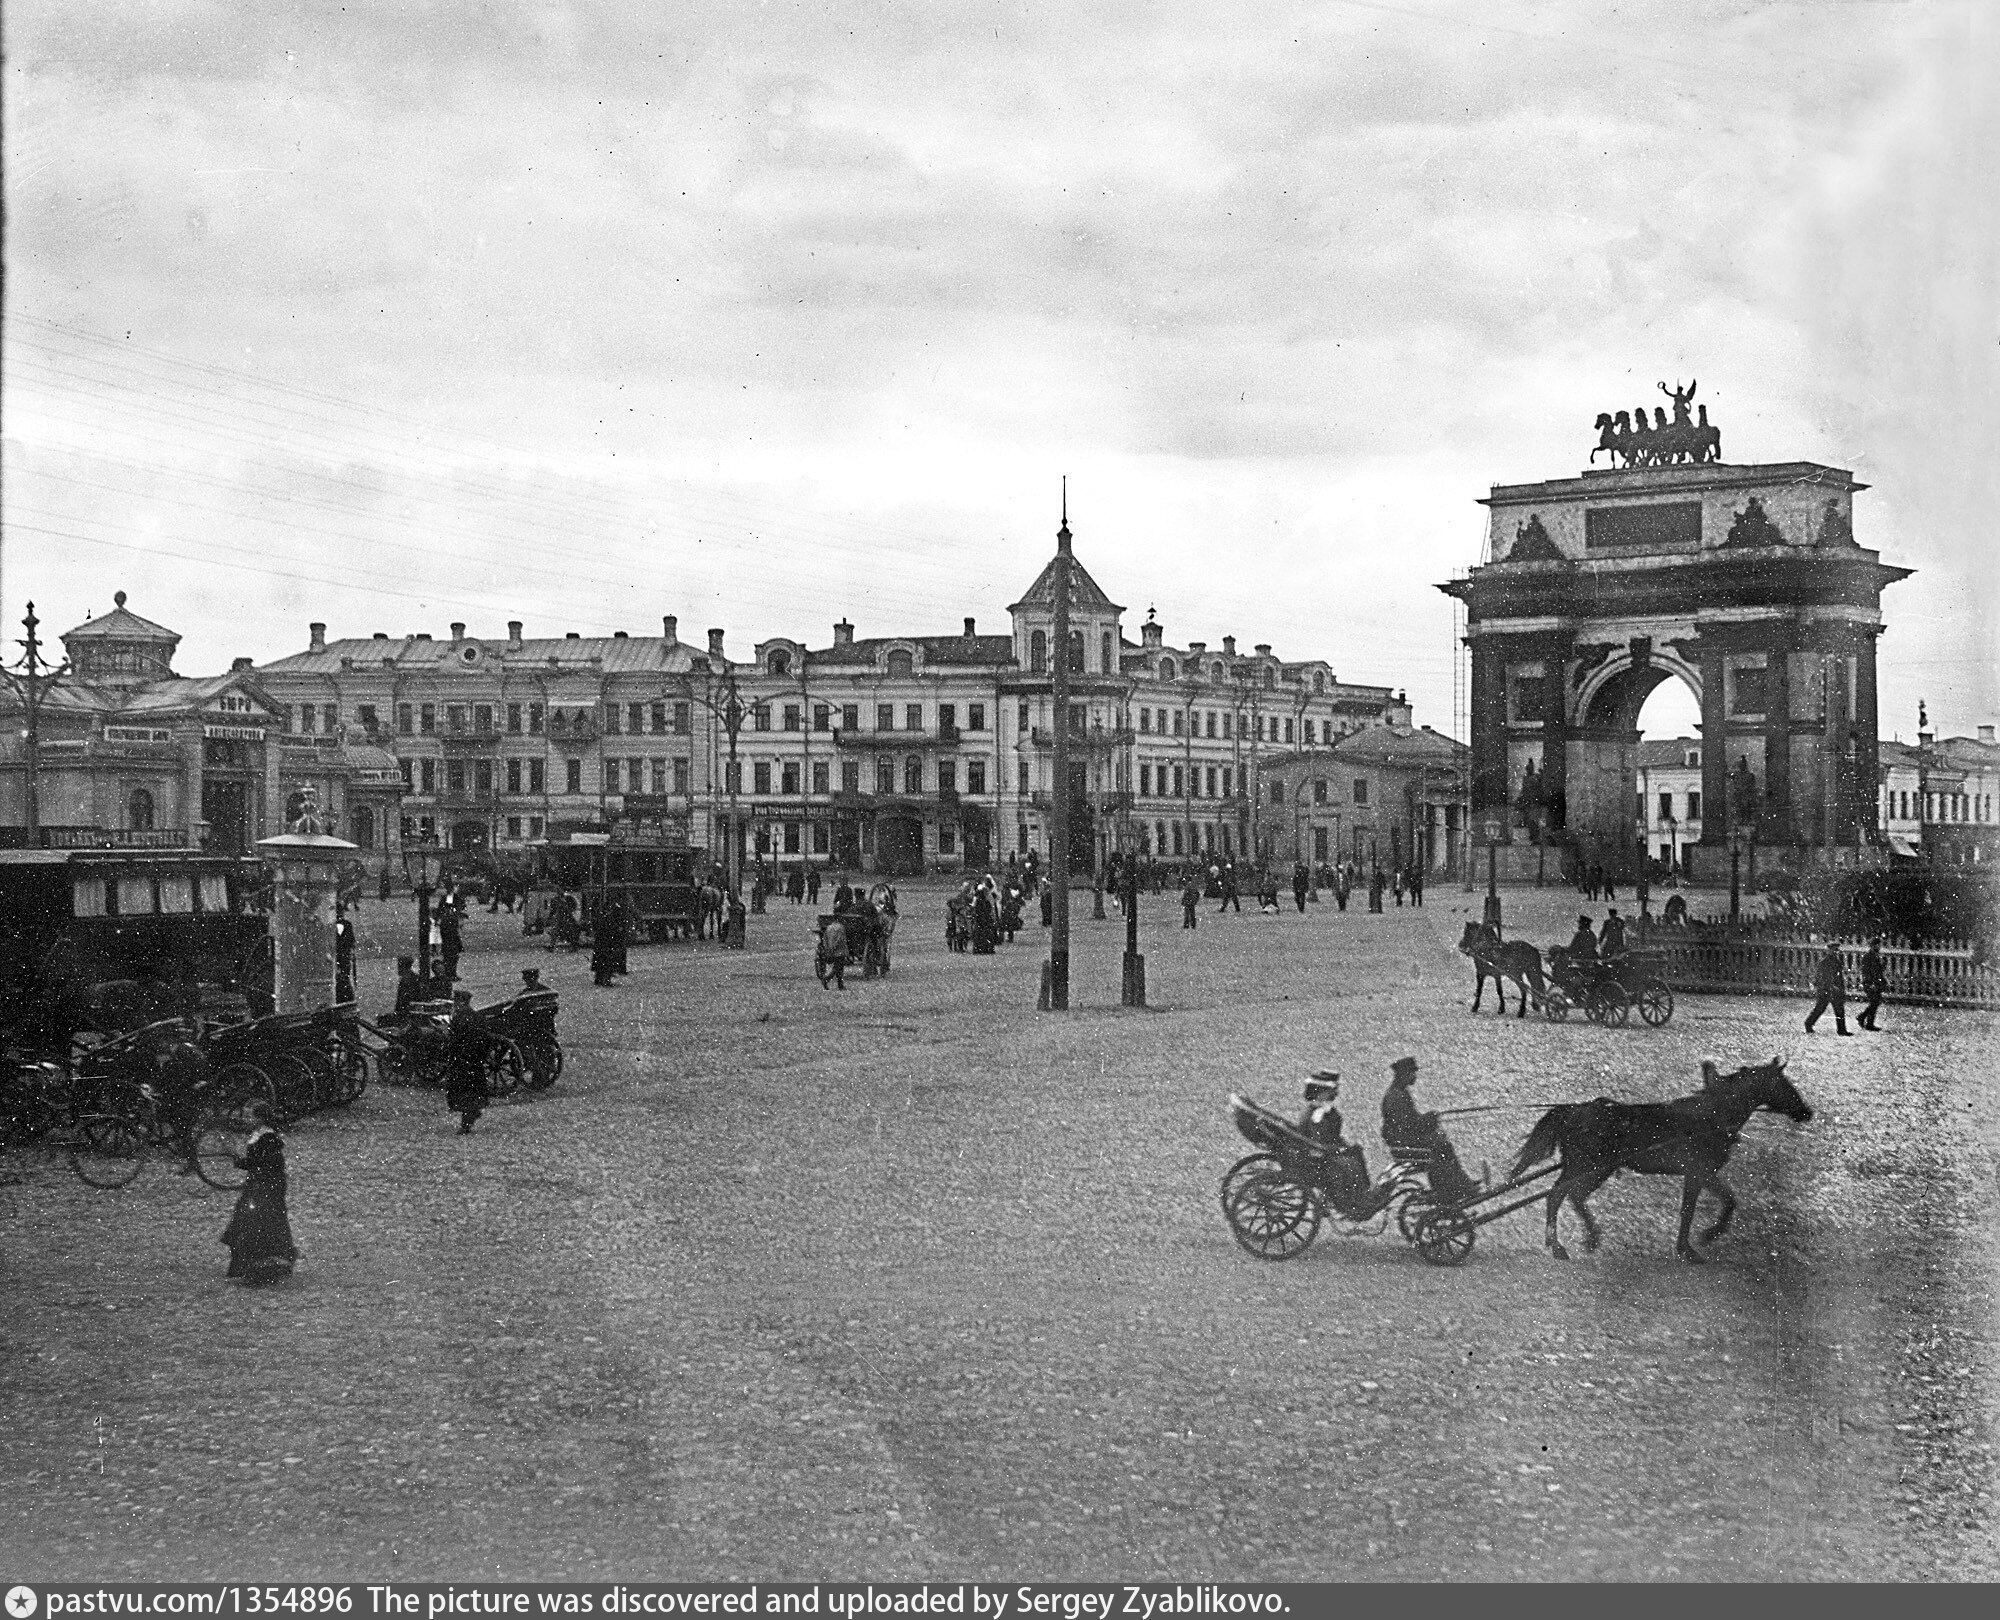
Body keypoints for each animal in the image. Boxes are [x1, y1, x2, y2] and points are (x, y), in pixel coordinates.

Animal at [1512, 1064, 1816, 1264]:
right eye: (1785, 1086)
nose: (1806, 1112)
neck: (1712, 1116)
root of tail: (1572, 1111)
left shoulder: (1701, 1174)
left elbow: (1719, 1202)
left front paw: (1696, 1242)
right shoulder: (1698, 1172)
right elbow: (1701, 1208)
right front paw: (1697, 1243)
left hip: (1596, 1169)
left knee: (1572, 1195)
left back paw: (1584, 1239)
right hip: (1586, 1166)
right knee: (1557, 1195)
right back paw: (1560, 1245)